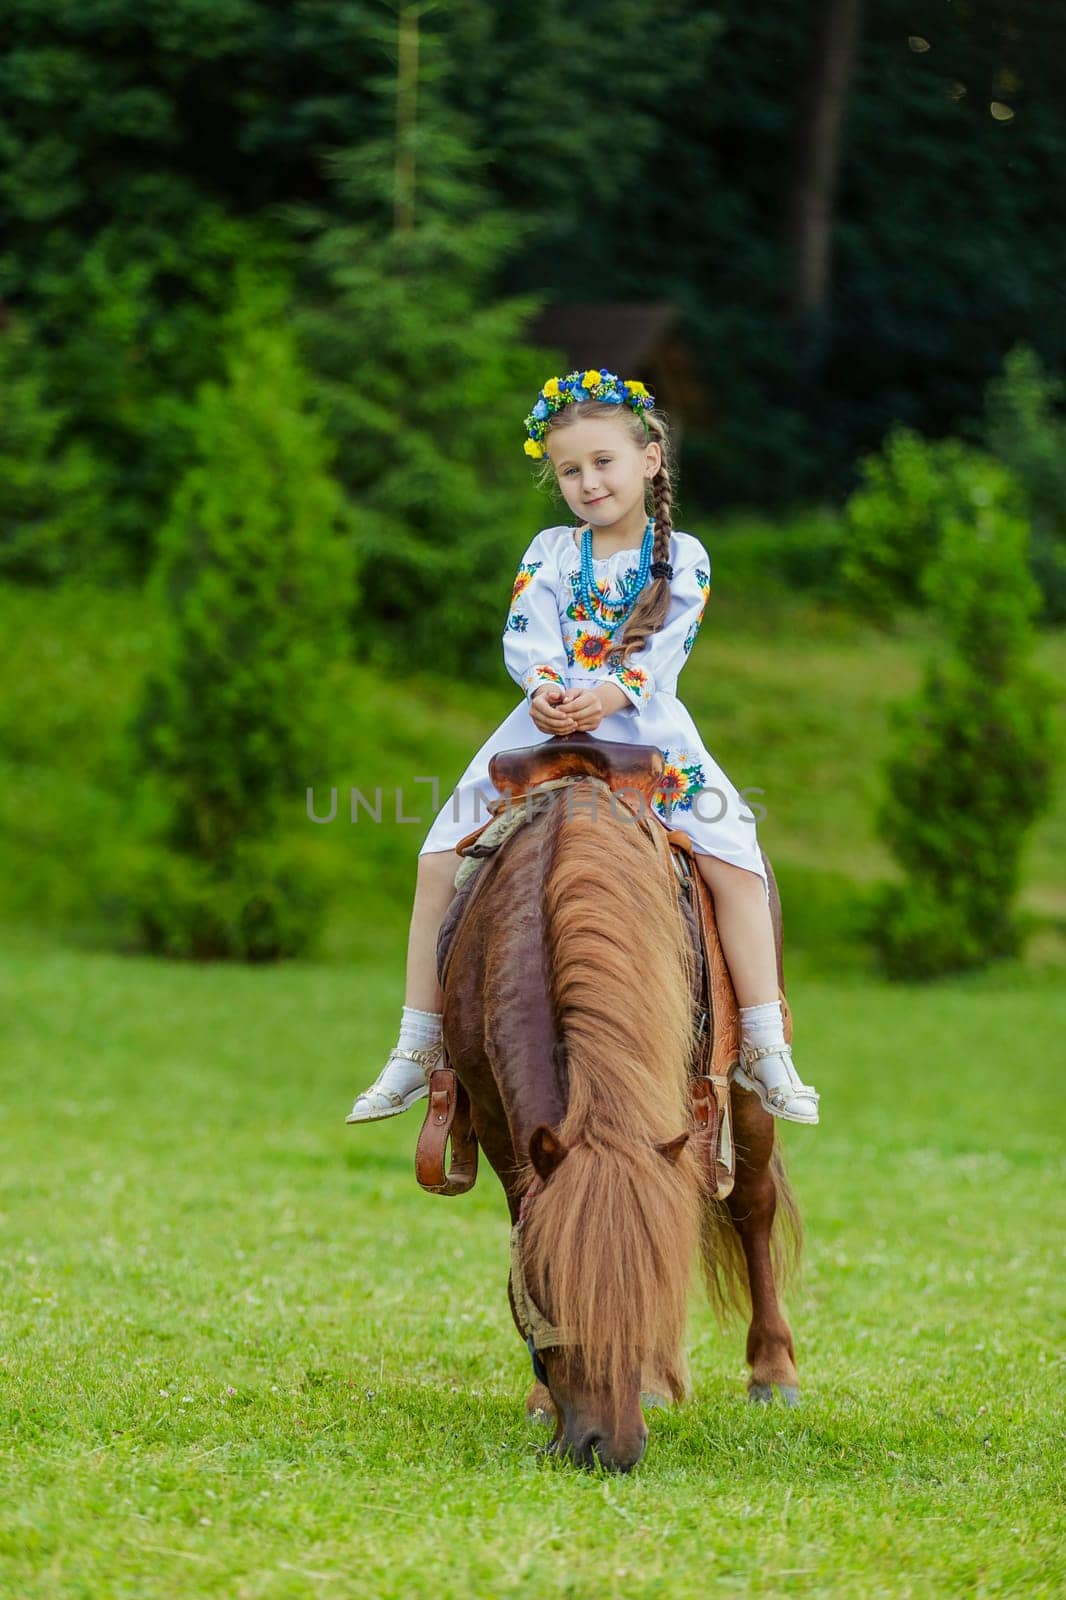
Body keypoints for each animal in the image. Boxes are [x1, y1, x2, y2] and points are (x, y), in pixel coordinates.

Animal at [438, 755, 797, 1465]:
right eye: (552, 1283)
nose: (612, 1447)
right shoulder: (493, 1118)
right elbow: (524, 1221)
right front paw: (542, 1399)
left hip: (744, 1096)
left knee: (754, 1206)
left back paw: (773, 1373)